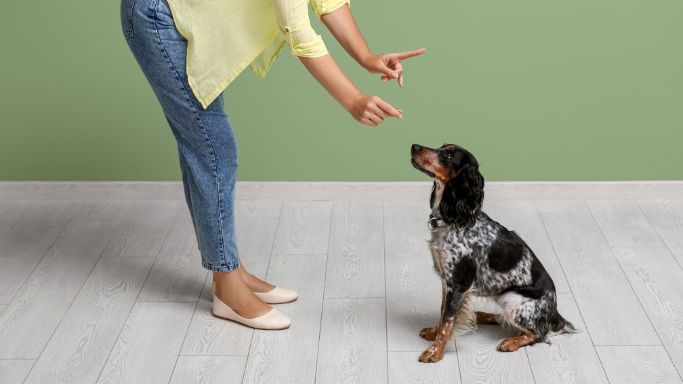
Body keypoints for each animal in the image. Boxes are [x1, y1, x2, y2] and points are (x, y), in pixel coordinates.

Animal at [412, 143, 576, 364]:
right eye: (441, 147)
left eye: (448, 154)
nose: (414, 146)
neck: (456, 220)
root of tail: (554, 312)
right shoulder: (447, 282)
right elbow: (442, 312)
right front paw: (433, 333)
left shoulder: (458, 284)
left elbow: (447, 320)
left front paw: (434, 352)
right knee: (503, 319)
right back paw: (482, 315)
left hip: (515, 302)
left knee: (538, 334)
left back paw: (510, 342)